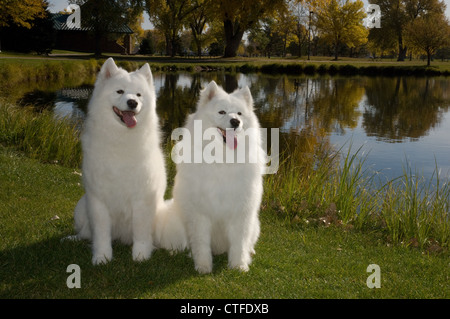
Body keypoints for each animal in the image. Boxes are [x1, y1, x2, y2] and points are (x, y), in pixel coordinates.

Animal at [73, 58, 166, 266]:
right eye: (120, 91)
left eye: (139, 94)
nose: (133, 102)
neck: (121, 139)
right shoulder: (98, 200)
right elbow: (101, 234)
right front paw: (102, 256)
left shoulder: (141, 199)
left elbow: (141, 232)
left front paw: (141, 255)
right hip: (82, 207)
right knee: (85, 232)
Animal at [156, 81, 266, 274]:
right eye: (222, 112)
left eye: (239, 114)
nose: (235, 121)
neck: (222, 159)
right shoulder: (199, 215)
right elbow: (201, 243)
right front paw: (203, 266)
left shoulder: (242, 212)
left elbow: (239, 243)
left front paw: (239, 265)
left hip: (255, 224)